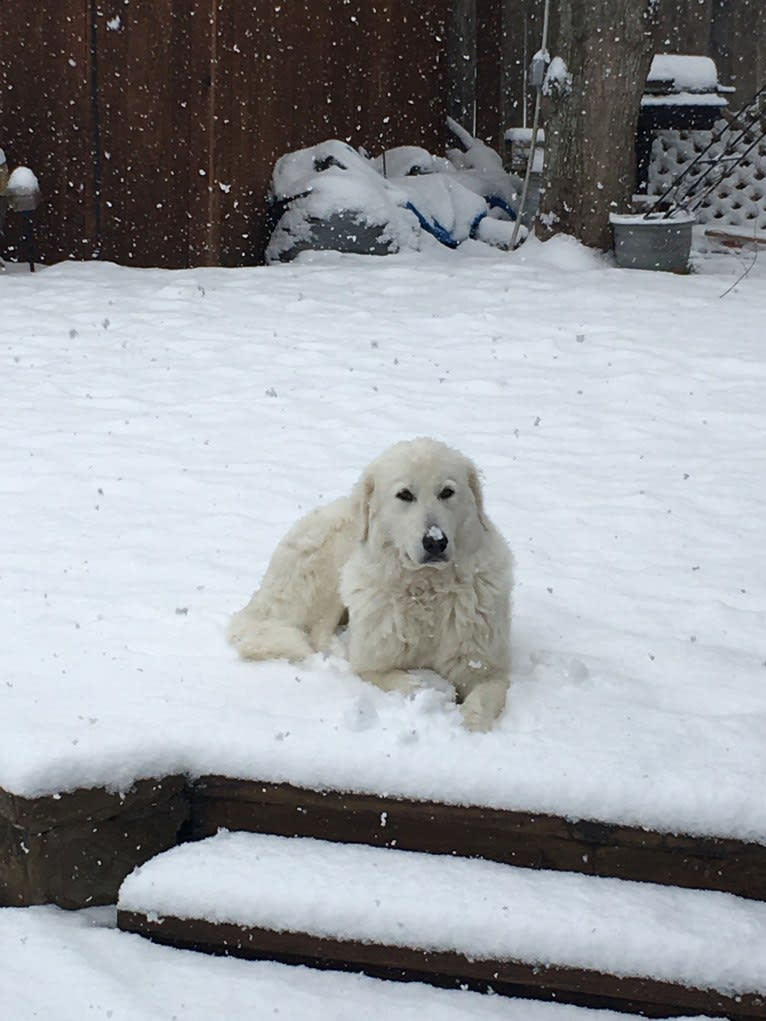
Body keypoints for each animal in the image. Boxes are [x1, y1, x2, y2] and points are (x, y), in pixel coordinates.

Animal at [229, 434, 516, 731]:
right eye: (405, 495)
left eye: (447, 492)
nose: (435, 541)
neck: (425, 590)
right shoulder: (370, 665)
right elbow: (399, 681)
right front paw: (431, 693)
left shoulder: (486, 668)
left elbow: (481, 702)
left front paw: (469, 725)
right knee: (319, 635)